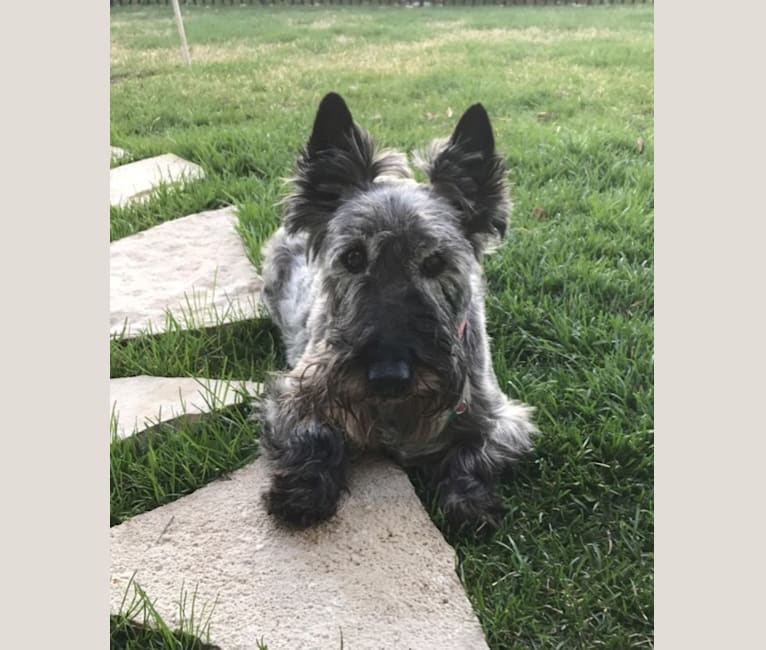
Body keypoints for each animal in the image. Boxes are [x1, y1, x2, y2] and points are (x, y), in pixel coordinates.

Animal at [258, 91, 540, 528]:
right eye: (353, 257)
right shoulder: (292, 394)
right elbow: (315, 435)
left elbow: (473, 452)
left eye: (435, 262)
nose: (388, 377)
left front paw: (468, 500)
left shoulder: (502, 417)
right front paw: (303, 491)